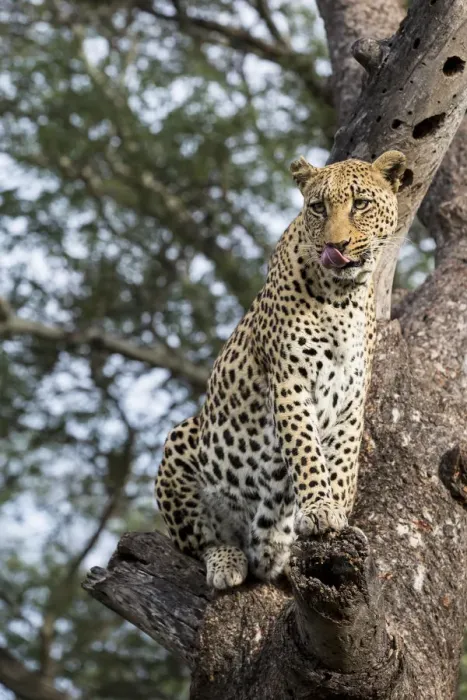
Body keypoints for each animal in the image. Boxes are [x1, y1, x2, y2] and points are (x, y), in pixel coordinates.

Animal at [155, 150, 406, 590]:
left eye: (360, 204)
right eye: (318, 207)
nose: (335, 245)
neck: (344, 296)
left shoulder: (353, 396)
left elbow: (342, 462)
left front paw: (339, 515)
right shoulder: (290, 381)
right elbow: (306, 450)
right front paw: (319, 508)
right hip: (182, 440)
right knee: (200, 539)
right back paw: (226, 561)